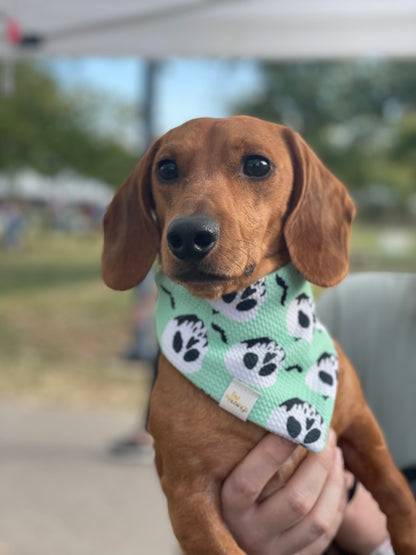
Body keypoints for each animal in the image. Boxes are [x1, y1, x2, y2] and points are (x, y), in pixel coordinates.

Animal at [102, 115, 416, 552]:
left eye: (257, 165)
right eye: (166, 168)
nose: (188, 235)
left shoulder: (360, 426)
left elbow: (396, 489)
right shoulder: (189, 498)